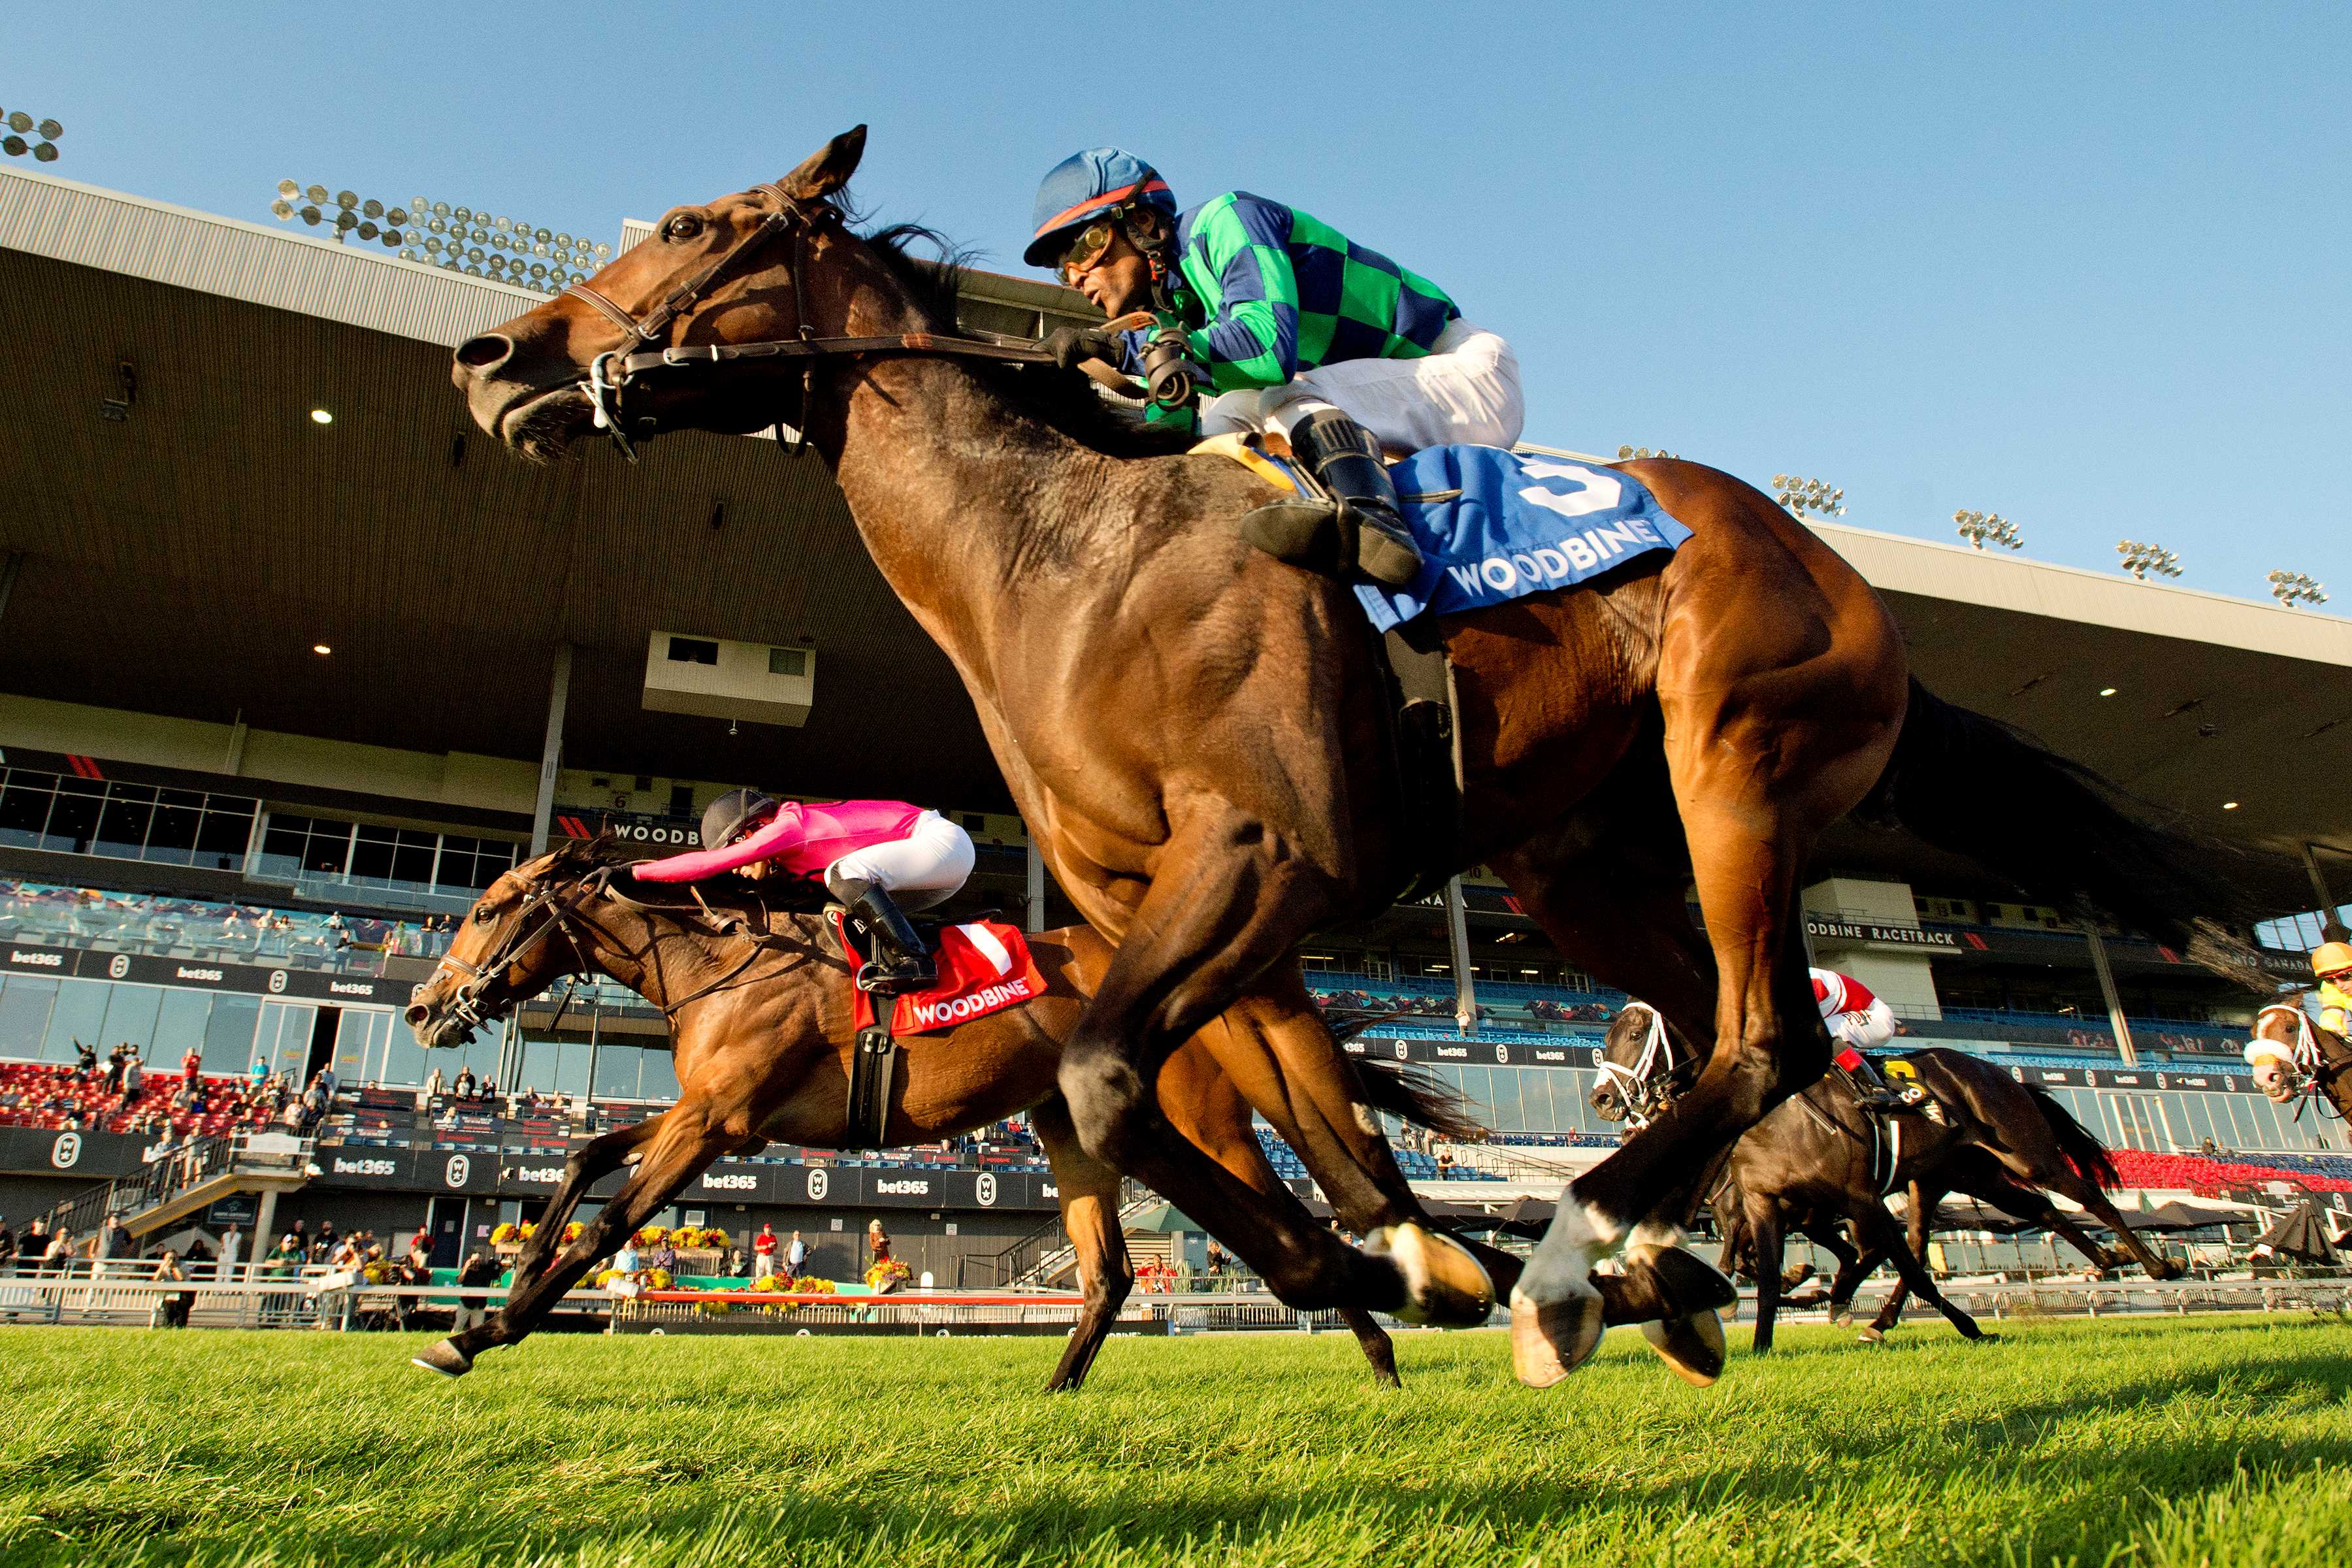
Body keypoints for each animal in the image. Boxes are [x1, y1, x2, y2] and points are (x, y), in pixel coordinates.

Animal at [1590, 1006, 2173, 1354]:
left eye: (1636, 1034)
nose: (1601, 1099)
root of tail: (1999, 1072)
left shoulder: (1854, 1195)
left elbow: (1891, 1265)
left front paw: (1966, 1325)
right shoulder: (1769, 1204)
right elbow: (1774, 1274)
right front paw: (1766, 1338)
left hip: (2026, 1153)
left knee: (2089, 1198)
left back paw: (2155, 1264)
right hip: (1957, 1175)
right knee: (2028, 1212)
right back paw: (2108, 1260)